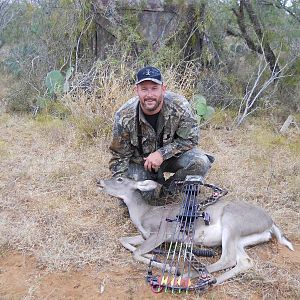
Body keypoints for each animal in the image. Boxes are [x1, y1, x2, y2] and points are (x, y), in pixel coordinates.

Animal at [97, 176, 294, 284]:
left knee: (228, 258)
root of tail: (271, 222)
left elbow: (136, 253)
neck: (143, 214)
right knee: (245, 261)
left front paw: (169, 266)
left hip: (232, 222)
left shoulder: (161, 233)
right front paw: (153, 255)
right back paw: (212, 281)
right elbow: (124, 240)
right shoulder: (144, 235)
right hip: (241, 239)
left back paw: (188, 274)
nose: (99, 181)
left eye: (120, 178)